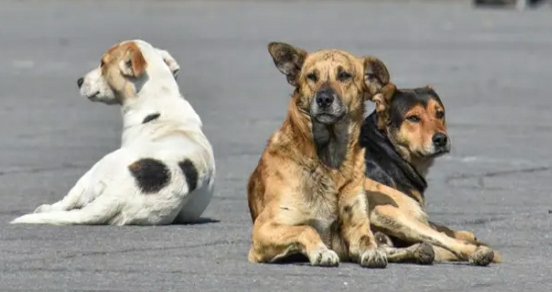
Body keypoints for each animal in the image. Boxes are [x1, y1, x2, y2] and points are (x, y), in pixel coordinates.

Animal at [11, 38, 216, 226]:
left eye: (103, 63)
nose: (79, 81)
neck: (160, 98)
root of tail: (121, 194)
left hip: (96, 170)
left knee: (67, 201)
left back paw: (46, 208)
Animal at [248, 42, 390, 268]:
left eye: (344, 75)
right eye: (311, 76)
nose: (324, 99)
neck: (329, 161)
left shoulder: (356, 222)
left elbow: (366, 238)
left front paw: (373, 251)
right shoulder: (264, 228)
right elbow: (306, 228)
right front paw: (321, 251)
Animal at [362, 83, 500, 266]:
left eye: (439, 113)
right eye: (413, 118)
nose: (441, 139)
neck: (386, 146)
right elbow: (440, 231)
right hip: (388, 213)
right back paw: (478, 252)